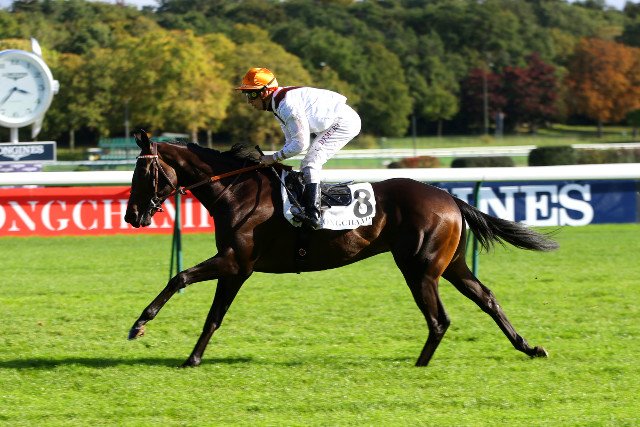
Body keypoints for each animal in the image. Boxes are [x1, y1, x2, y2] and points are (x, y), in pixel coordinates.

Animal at [124, 130, 558, 368]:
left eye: (143, 171)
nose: (131, 215)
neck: (237, 190)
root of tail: (450, 198)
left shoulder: (236, 262)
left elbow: (182, 279)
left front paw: (142, 326)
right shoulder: (236, 267)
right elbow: (210, 313)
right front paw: (190, 355)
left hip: (420, 268)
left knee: (440, 319)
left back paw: (419, 364)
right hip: (450, 265)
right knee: (486, 297)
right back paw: (528, 347)